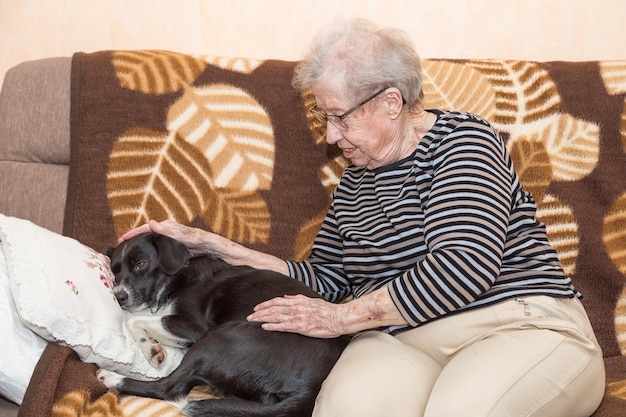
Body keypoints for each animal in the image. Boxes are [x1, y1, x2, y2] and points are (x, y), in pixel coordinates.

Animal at [99, 232, 348, 416]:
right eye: (114, 271)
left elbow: (134, 319)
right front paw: (150, 345)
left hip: (219, 338)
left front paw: (149, 348)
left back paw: (112, 377)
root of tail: (312, 391)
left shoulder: (193, 326)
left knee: (169, 388)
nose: (119, 297)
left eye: (141, 264)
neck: (175, 278)